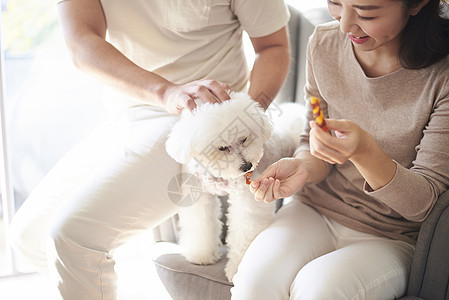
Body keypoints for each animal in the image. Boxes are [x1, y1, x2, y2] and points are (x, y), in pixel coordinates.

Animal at [164, 92, 304, 282]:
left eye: (243, 139)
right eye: (222, 148)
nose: (247, 166)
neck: (220, 175)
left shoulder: (248, 200)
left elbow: (243, 231)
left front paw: (237, 270)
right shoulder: (200, 197)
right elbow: (201, 224)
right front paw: (201, 255)